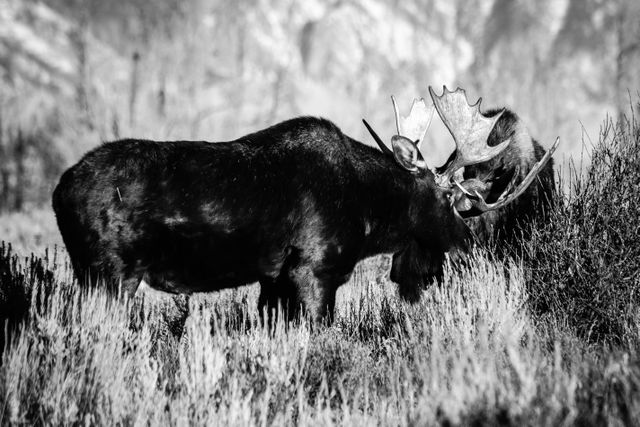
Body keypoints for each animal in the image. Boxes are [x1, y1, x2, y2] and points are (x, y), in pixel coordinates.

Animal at [52, 87, 556, 324]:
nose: (468, 243)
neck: (371, 214)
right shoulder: (313, 271)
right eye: (453, 199)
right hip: (109, 275)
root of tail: (59, 191)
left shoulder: (272, 280)